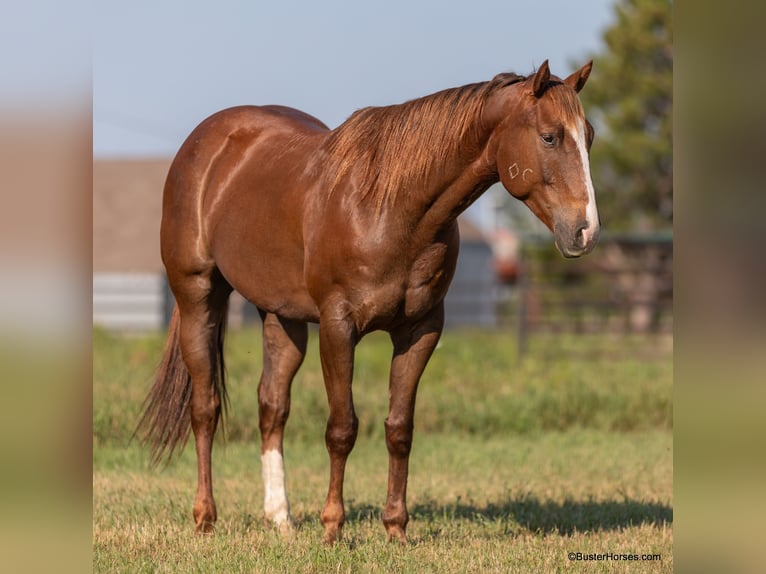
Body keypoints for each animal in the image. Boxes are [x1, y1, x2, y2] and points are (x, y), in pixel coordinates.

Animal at [137, 60, 599, 544]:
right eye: (549, 136)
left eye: (588, 136)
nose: (585, 231)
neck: (391, 209)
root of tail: (204, 143)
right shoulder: (339, 327)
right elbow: (342, 428)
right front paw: (332, 527)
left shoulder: (420, 330)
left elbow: (399, 428)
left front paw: (395, 527)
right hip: (198, 298)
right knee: (205, 407)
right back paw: (205, 516)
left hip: (281, 317)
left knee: (272, 407)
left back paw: (280, 518)